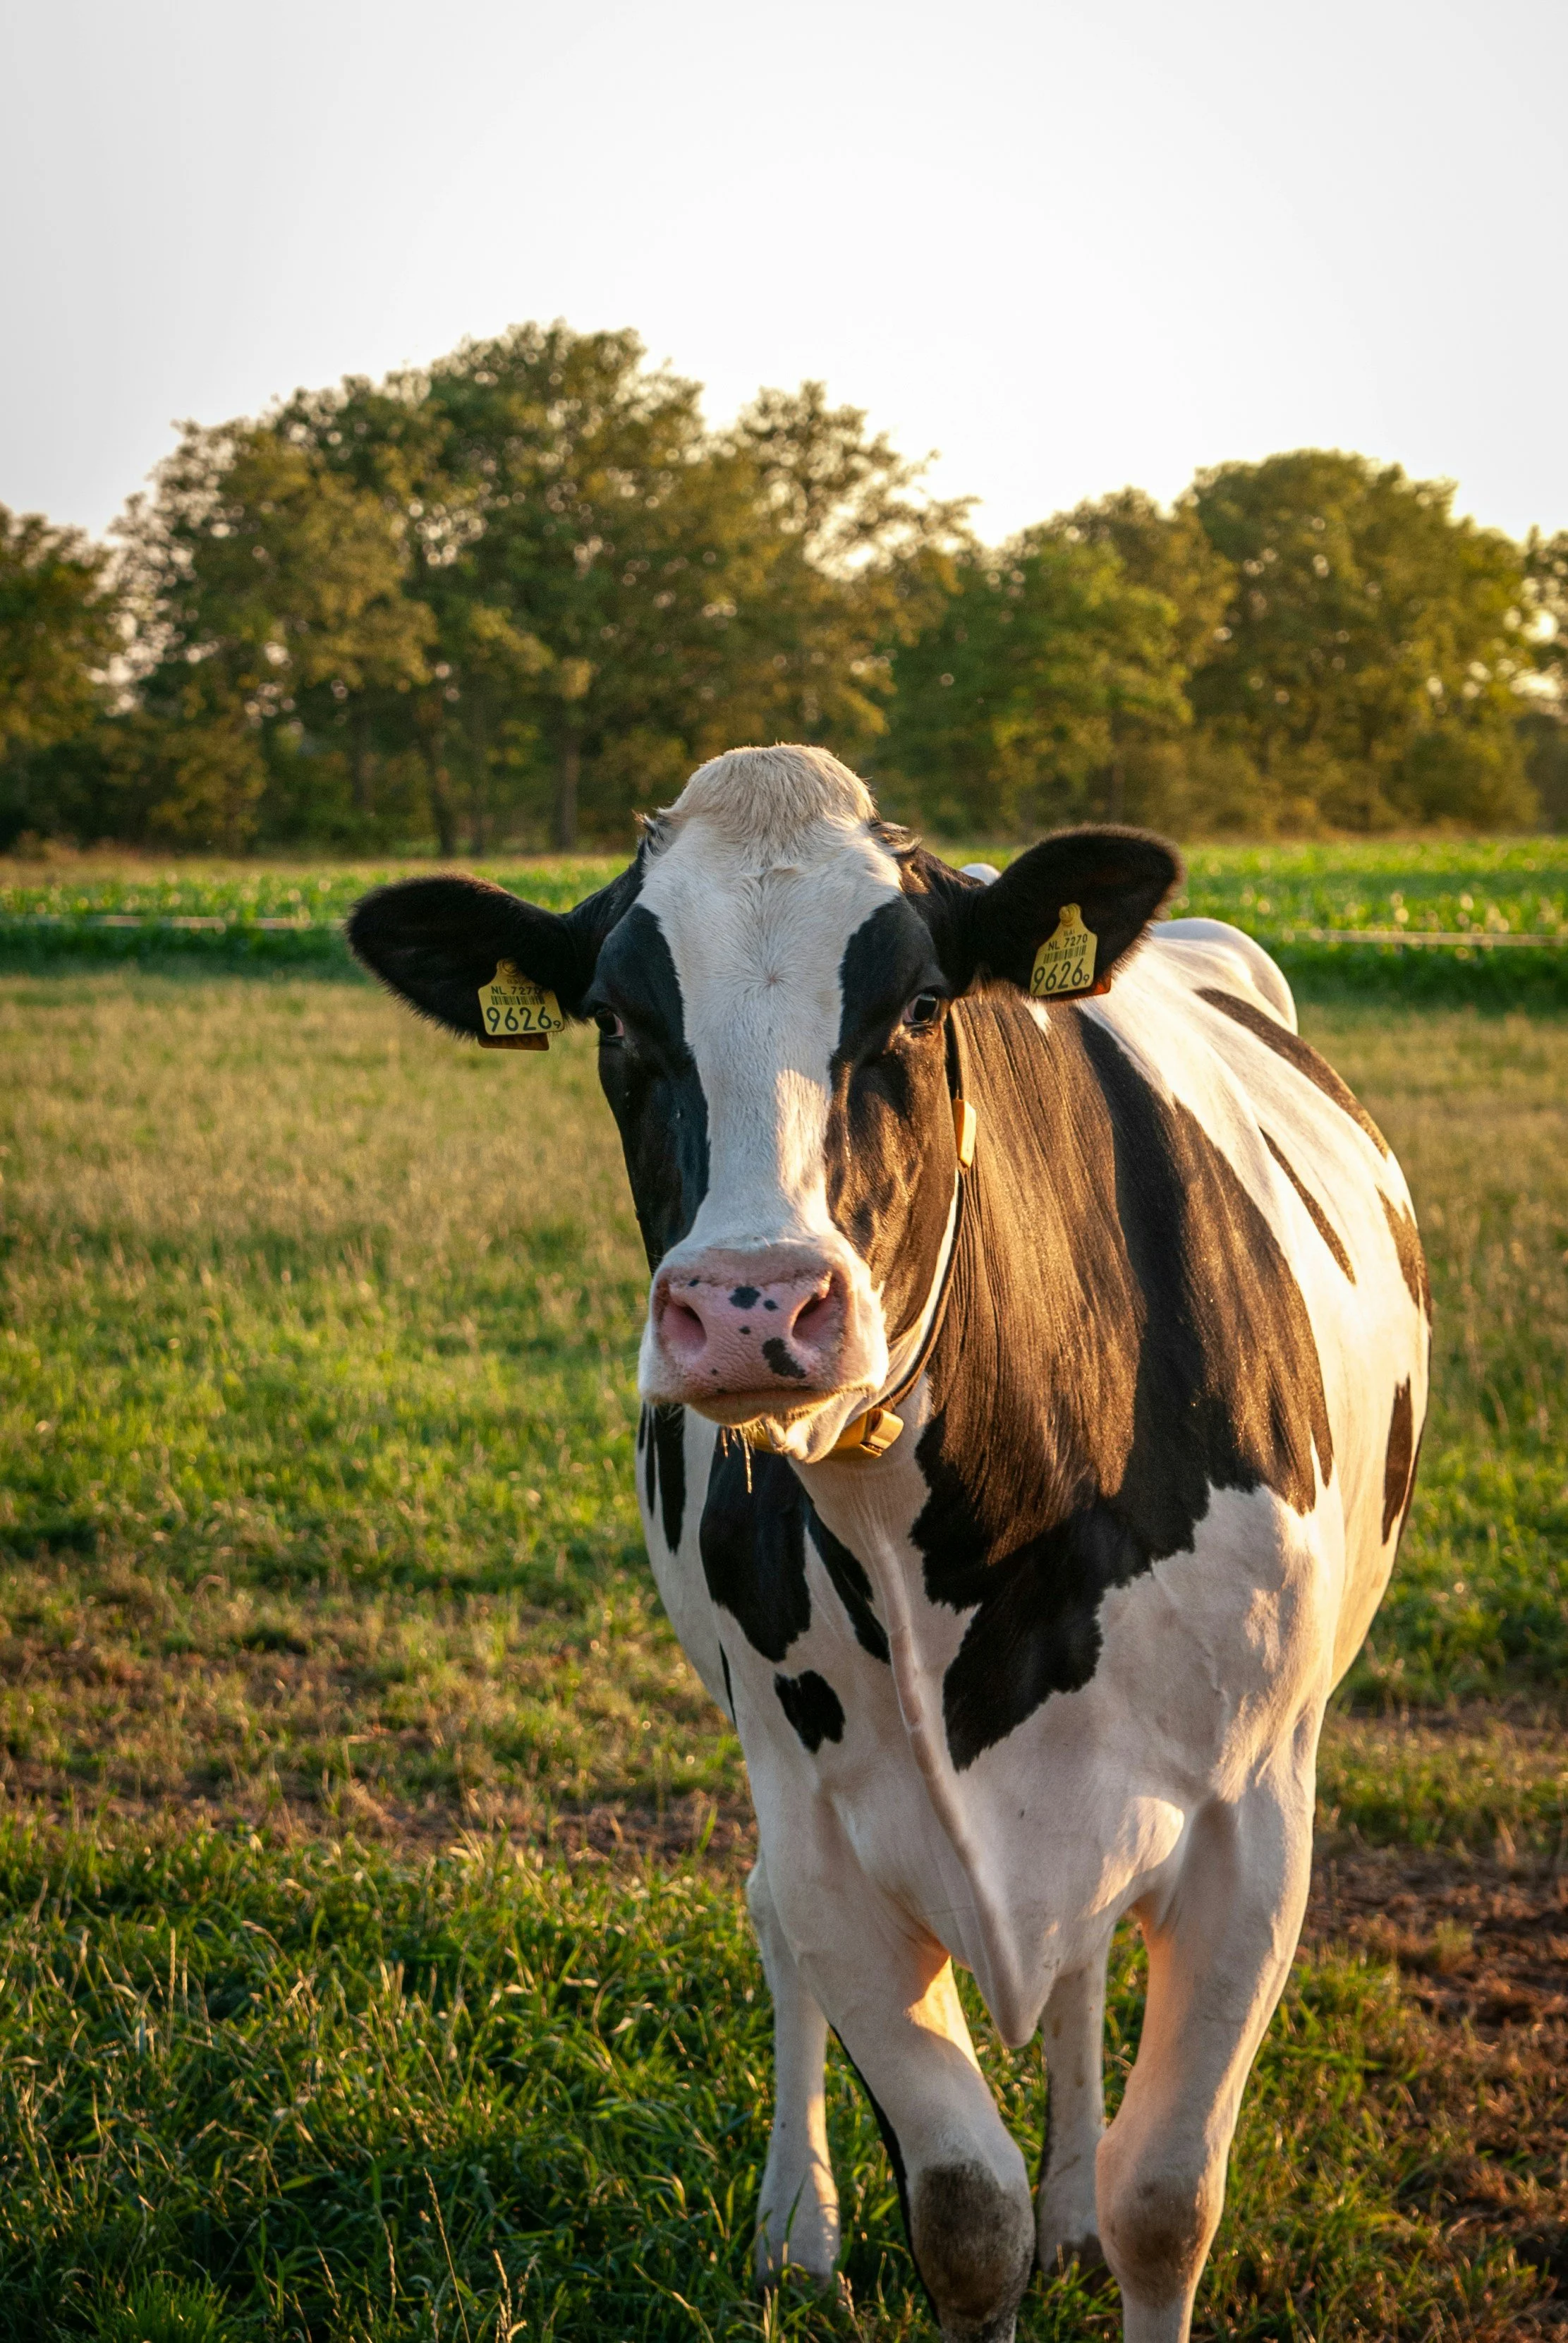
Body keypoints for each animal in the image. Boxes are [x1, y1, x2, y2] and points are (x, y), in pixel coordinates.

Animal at [349, 745, 1430, 2343]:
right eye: (616, 1018)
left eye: (920, 1005)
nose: (750, 1303)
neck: (979, 1546)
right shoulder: (828, 1832)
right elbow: (962, 2218)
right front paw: (894, 2222)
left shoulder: (1252, 1820)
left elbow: (1165, 2202)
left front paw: (1097, 2217)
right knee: (772, 1927)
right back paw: (794, 2225)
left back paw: (1070, 2206)